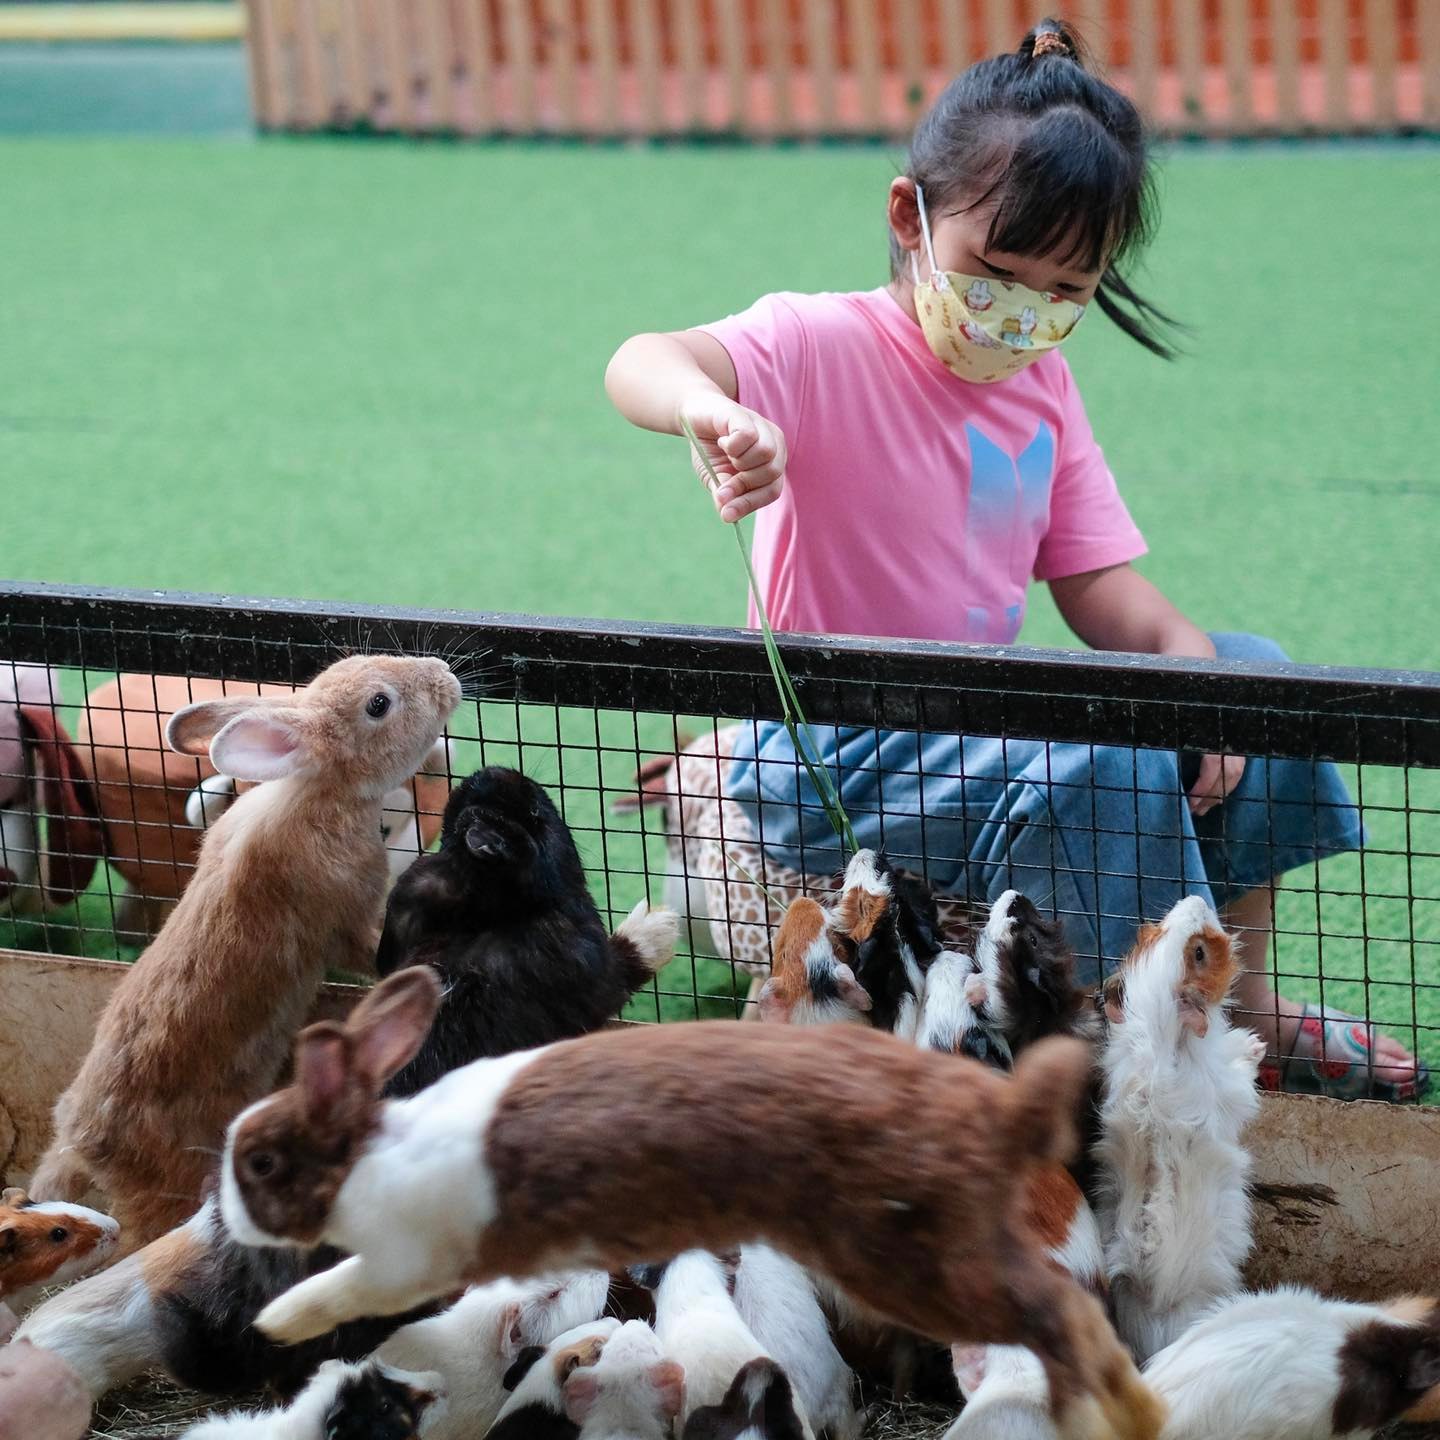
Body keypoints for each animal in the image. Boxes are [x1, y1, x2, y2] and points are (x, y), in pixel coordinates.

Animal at [28, 656, 460, 1249]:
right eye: (379, 704)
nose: (445, 676)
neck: (317, 792)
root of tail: (87, 1145)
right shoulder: (348, 916)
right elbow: (370, 948)